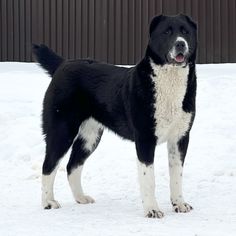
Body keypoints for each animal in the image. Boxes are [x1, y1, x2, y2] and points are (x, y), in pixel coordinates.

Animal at [32, 14, 197, 218]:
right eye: (167, 31)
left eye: (185, 32)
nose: (180, 44)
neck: (169, 82)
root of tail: (63, 64)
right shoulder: (145, 139)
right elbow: (148, 179)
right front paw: (152, 210)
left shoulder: (180, 138)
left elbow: (176, 176)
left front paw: (179, 204)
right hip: (61, 131)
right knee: (48, 166)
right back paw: (48, 202)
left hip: (90, 136)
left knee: (72, 166)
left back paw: (81, 198)